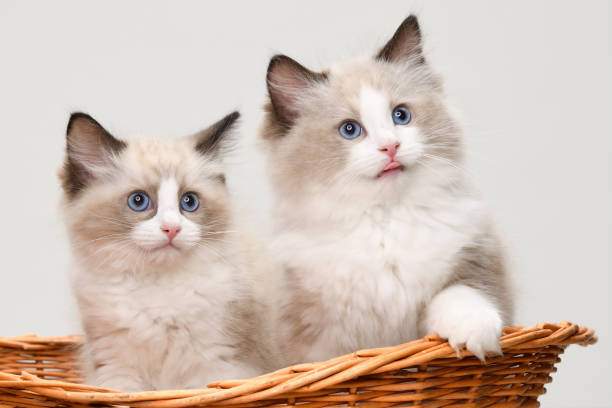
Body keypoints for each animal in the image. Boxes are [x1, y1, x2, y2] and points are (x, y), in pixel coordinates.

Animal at [60, 110, 274, 390]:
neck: (157, 286)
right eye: (138, 201)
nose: (172, 229)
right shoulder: (116, 368)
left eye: (189, 202)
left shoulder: (219, 364)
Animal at [260, 16, 512, 366]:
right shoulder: (315, 336)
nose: (391, 147)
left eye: (400, 115)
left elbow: (462, 296)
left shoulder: (473, 260)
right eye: (350, 130)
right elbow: (329, 363)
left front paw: (476, 338)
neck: (386, 220)